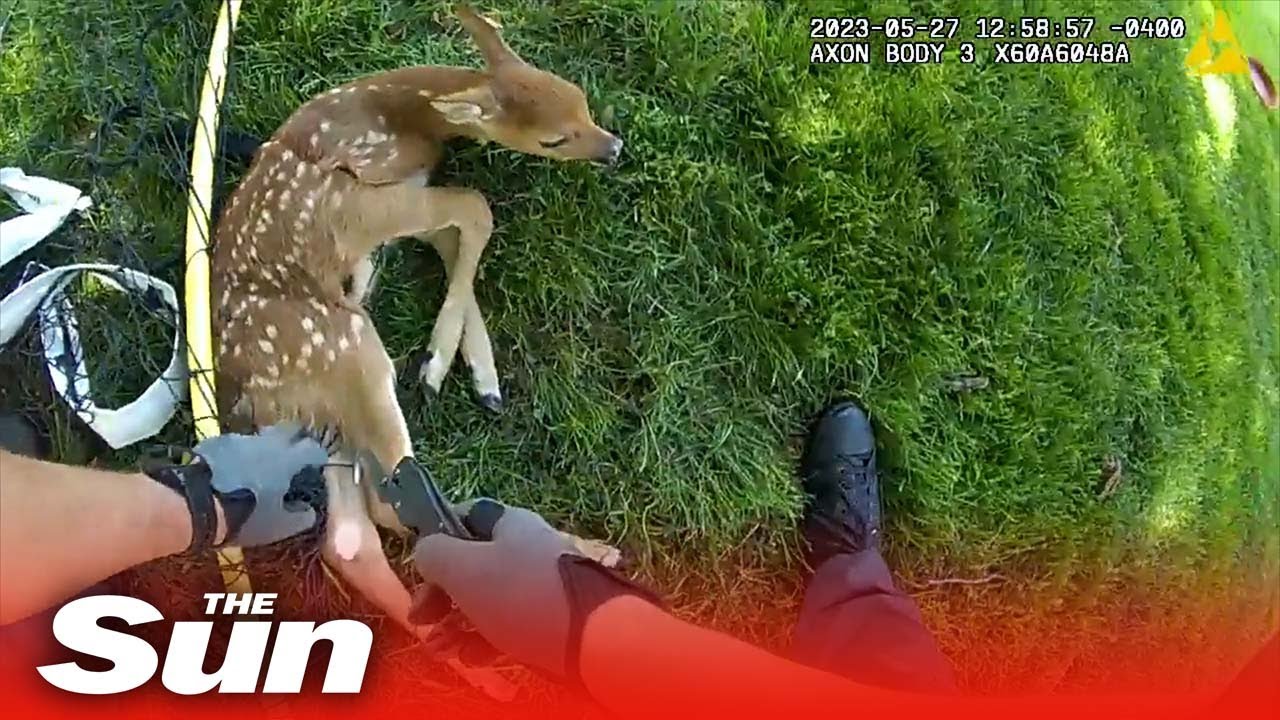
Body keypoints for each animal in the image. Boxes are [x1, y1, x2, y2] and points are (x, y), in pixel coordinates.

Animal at [209, 4, 623, 646]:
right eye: (553, 138)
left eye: (579, 98)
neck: (396, 120)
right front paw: (438, 362)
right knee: (384, 503)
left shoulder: (408, 203)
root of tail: (245, 397)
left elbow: (456, 239)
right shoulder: (361, 207)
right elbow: (477, 208)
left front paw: (478, 372)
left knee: (350, 530)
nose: (614, 147)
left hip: (318, 412)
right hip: (343, 344)